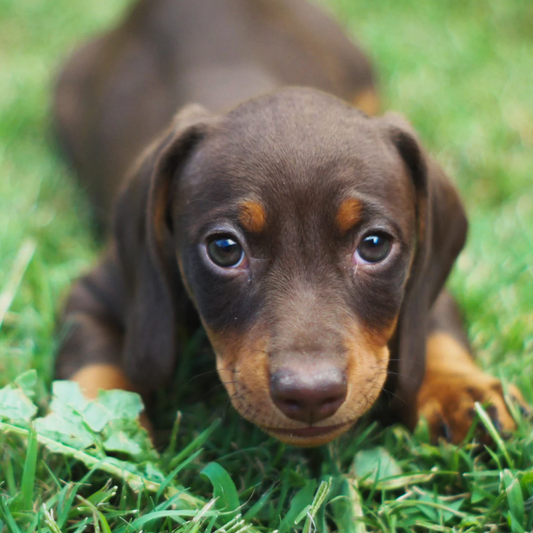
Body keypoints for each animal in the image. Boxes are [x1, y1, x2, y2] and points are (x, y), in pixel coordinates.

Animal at [55, 0, 524, 444]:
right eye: (224, 249)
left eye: (374, 245)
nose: (311, 394)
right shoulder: (96, 293)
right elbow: (91, 372)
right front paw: (92, 432)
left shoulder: (422, 277)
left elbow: (437, 330)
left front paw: (461, 393)